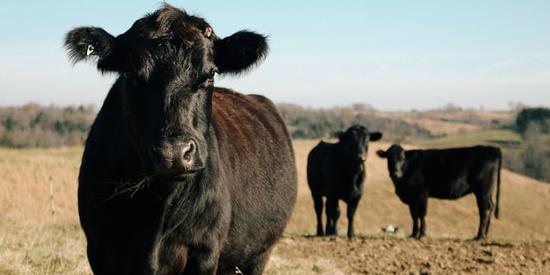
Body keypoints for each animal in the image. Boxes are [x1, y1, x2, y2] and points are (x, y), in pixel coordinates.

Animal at [65, 4, 300, 275]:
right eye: (130, 74)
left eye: (210, 74)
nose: (174, 153)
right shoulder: (100, 250)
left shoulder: (204, 252)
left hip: (258, 255)